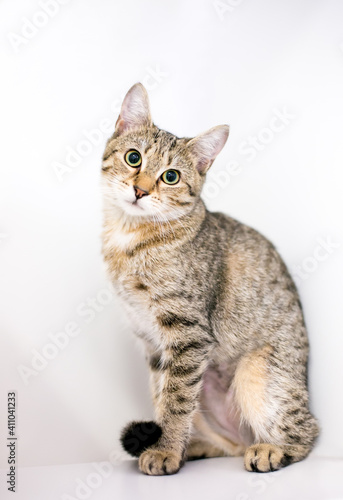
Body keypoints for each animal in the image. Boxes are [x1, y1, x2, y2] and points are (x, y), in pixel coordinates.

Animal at [101, 83, 320, 476]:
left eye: (170, 177)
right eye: (133, 158)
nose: (140, 190)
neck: (129, 238)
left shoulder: (189, 333)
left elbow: (175, 400)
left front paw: (166, 451)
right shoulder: (153, 344)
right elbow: (163, 395)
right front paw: (166, 446)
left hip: (255, 372)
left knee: (306, 430)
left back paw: (271, 450)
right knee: (228, 443)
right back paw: (197, 447)